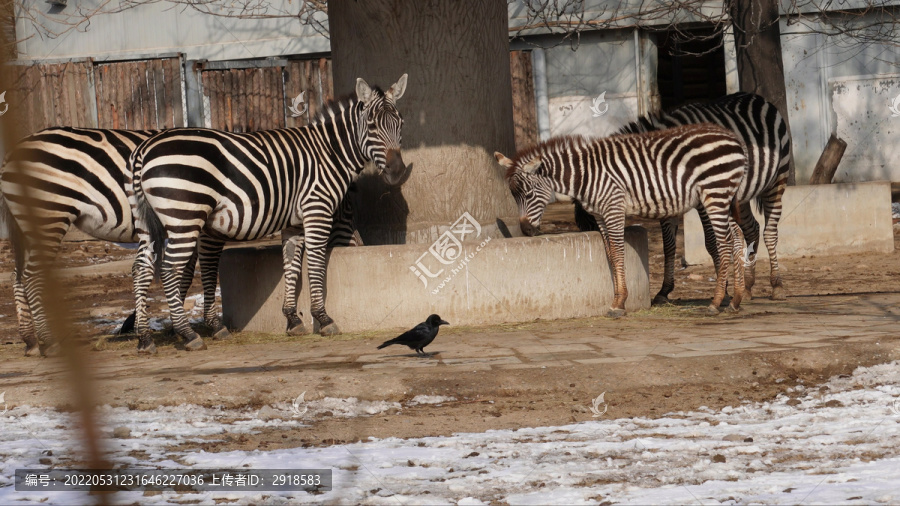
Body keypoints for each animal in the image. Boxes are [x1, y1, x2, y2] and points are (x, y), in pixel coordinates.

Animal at [0, 126, 358, 356]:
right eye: (345, 212)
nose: (355, 248)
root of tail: (13, 151)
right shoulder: (202, 227)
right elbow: (197, 273)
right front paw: (193, 327)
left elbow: (180, 274)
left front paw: (158, 327)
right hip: (50, 215)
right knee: (29, 275)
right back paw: (48, 341)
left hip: (28, 224)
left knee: (18, 276)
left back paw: (32, 341)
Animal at [131, 73, 412, 354]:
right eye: (372, 126)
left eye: (400, 124)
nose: (398, 172)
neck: (329, 153)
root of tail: (145, 147)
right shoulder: (317, 209)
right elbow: (315, 262)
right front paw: (323, 318)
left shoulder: (294, 223)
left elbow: (292, 263)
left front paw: (292, 319)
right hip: (184, 217)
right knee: (168, 270)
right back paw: (188, 334)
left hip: (147, 223)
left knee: (142, 268)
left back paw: (145, 339)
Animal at [496, 123, 748, 316]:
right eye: (513, 196)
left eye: (528, 194)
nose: (526, 230)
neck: (585, 176)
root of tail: (733, 138)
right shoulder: (599, 214)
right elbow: (610, 253)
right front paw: (617, 299)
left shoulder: (613, 208)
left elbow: (618, 252)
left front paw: (619, 303)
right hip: (724, 197)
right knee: (737, 237)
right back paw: (736, 300)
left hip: (715, 194)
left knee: (724, 243)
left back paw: (716, 303)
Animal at [572, 92, 792, 302]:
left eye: (592, 221)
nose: (608, 262)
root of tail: (757, 97)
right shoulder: (664, 196)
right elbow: (669, 246)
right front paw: (664, 291)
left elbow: (711, 242)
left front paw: (724, 290)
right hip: (740, 194)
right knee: (752, 228)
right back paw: (747, 287)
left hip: (777, 179)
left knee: (770, 232)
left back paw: (777, 286)